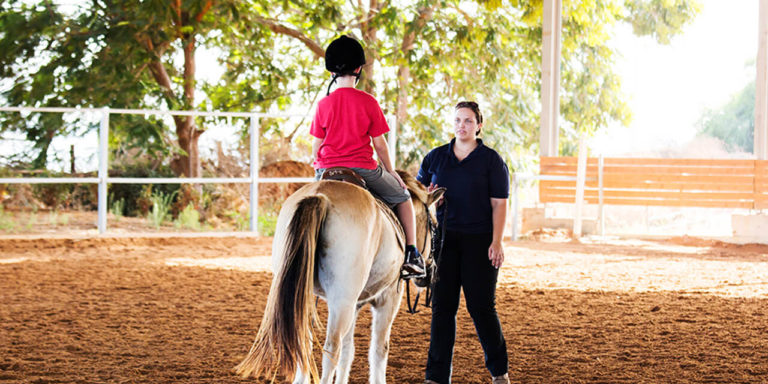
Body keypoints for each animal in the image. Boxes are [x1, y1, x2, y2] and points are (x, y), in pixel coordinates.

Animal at [237, 172, 448, 384]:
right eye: (435, 226)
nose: (431, 272)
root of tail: (320, 196)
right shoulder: (388, 298)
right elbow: (379, 350)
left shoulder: (354, 305)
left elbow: (348, 351)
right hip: (342, 302)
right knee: (331, 349)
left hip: (306, 296)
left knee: (303, 343)